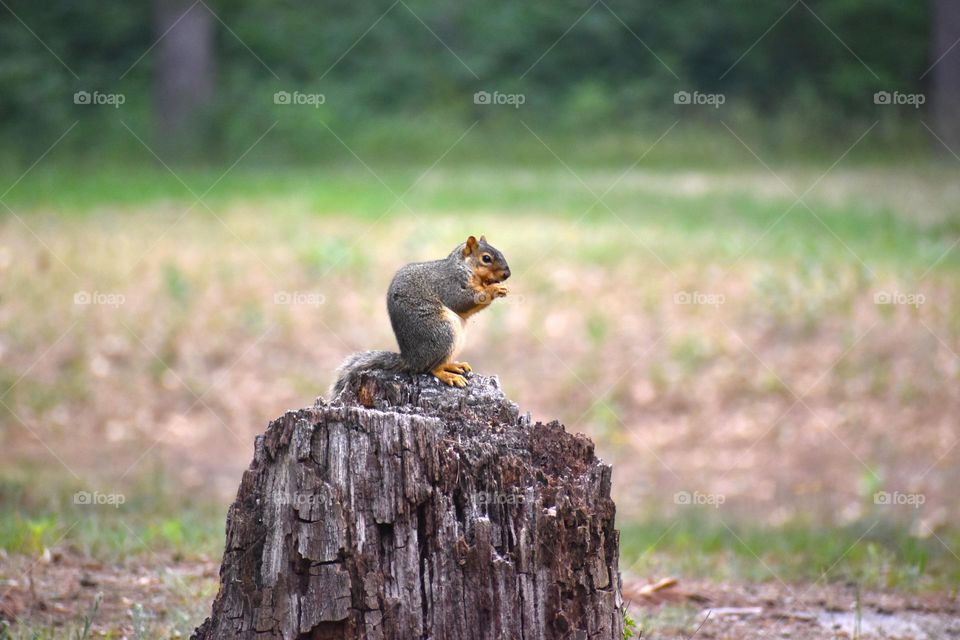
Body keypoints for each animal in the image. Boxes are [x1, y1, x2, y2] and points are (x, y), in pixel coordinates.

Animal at [330, 235, 511, 397]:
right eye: (486, 258)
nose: (507, 274)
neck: (463, 266)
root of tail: (411, 359)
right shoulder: (449, 285)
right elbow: (461, 301)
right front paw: (494, 289)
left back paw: (454, 366)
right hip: (443, 332)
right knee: (430, 368)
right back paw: (449, 375)